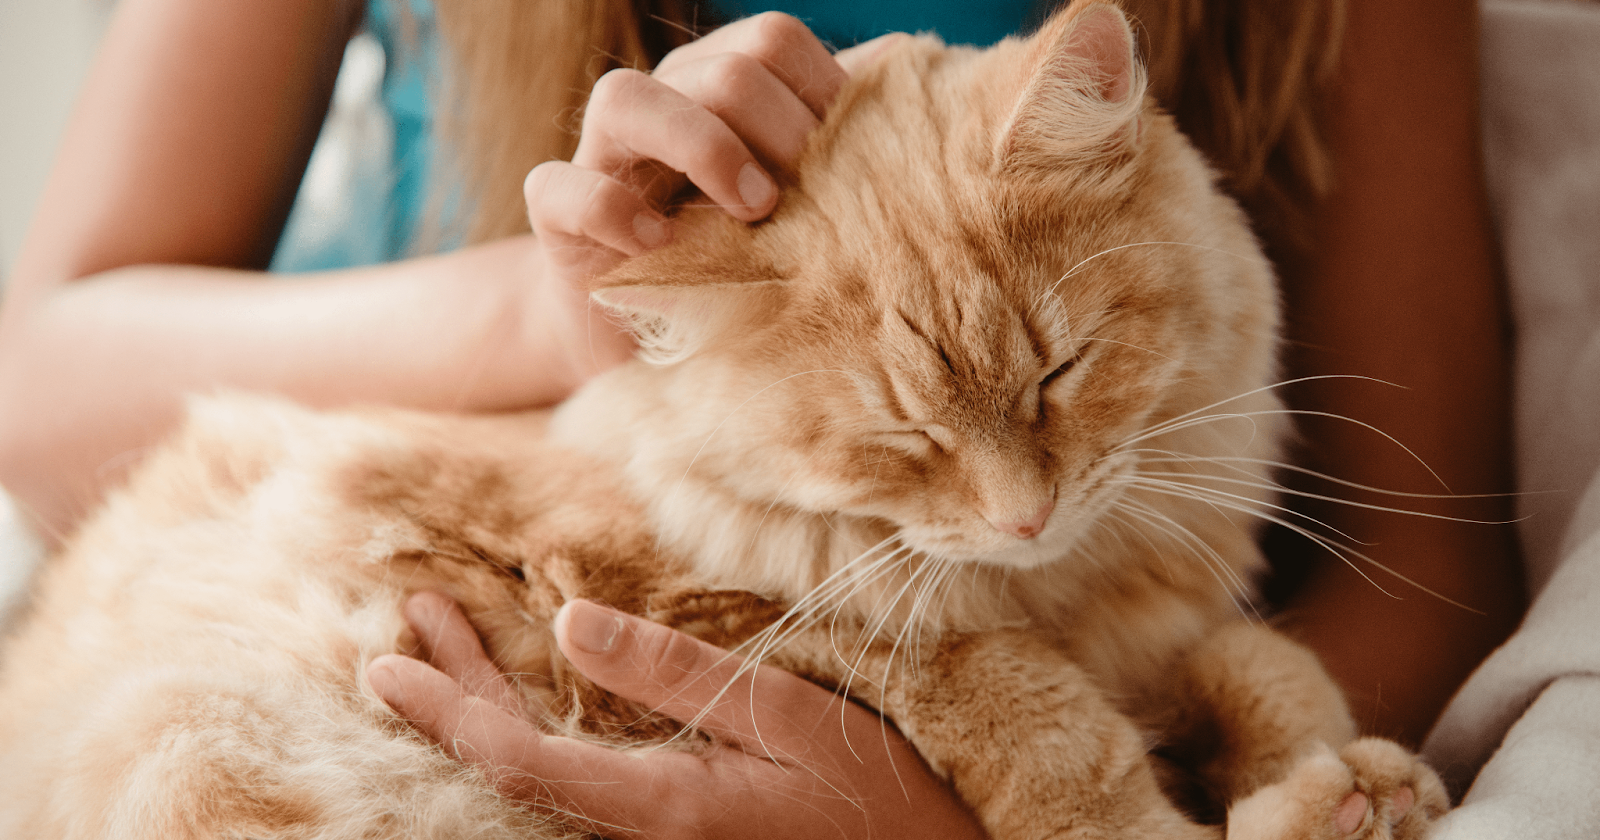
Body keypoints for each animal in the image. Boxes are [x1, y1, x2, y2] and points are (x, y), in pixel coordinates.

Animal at [0, 3, 1452, 832]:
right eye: (906, 439)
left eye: (1058, 374)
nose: (1025, 515)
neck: (1065, 592)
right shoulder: (710, 613)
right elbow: (1054, 736)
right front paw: (1267, 808)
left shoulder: (1159, 628)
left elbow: (1262, 665)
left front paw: (1358, 783)